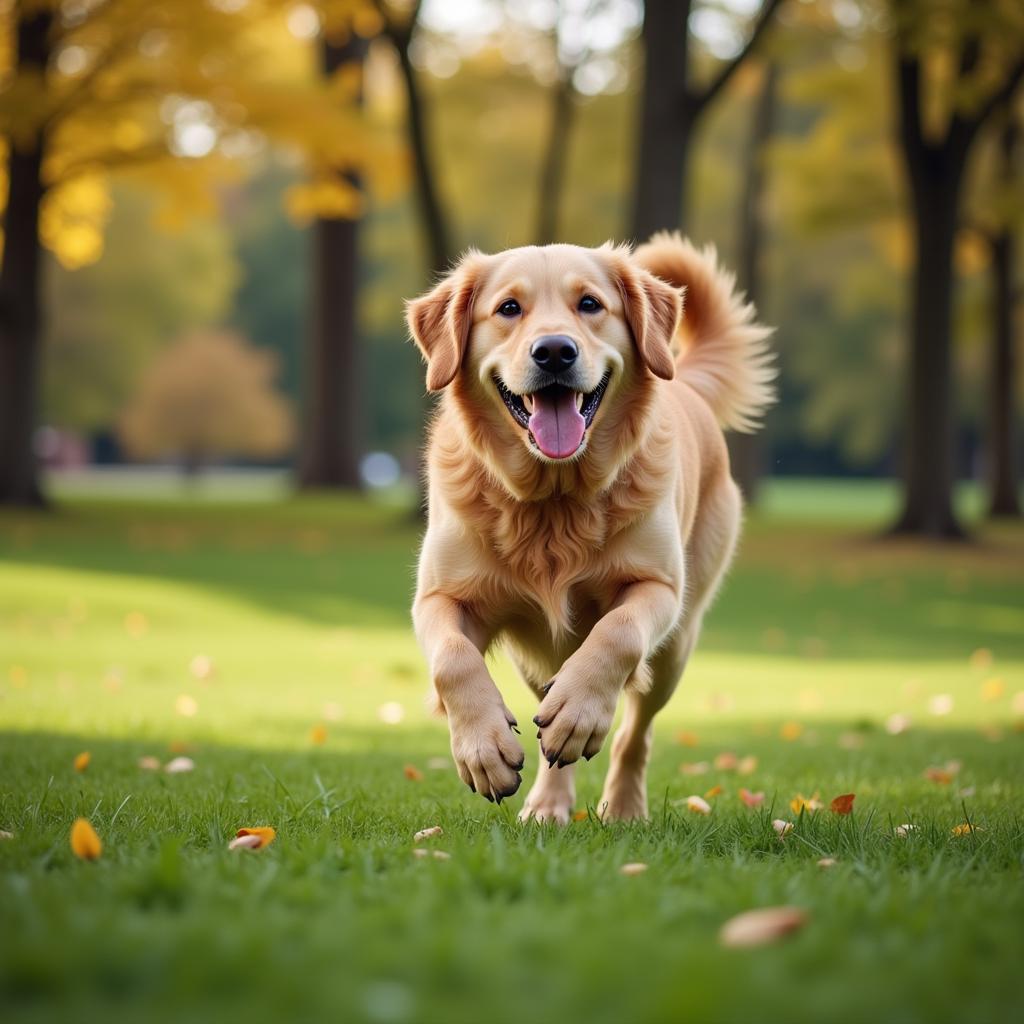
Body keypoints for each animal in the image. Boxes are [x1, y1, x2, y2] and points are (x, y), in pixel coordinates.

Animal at [403, 234, 770, 823]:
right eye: (509, 308)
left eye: (591, 304)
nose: (555, 351)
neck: (554, 501)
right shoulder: (440, 597)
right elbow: (453, 660)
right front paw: (483, 749)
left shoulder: (658, 587)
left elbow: (617, 633)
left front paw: (579, 713)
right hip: (535, 657)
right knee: (548, 727)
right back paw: (547, 804)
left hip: (676, 645)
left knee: (633, 731)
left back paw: (621, 803)